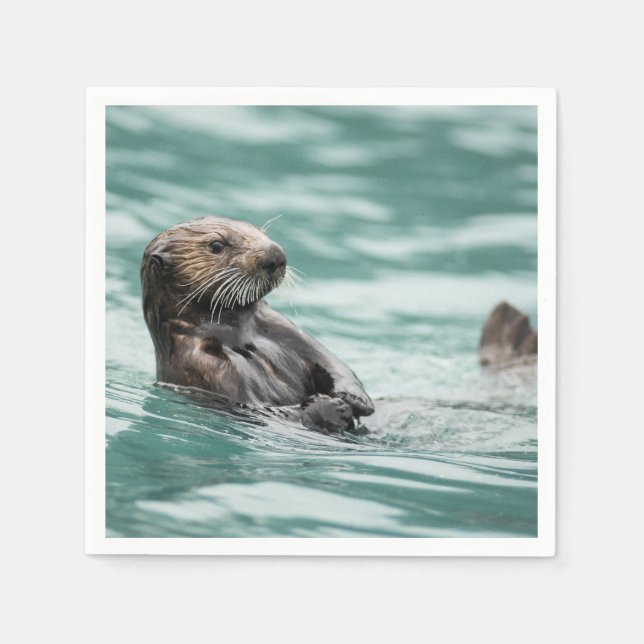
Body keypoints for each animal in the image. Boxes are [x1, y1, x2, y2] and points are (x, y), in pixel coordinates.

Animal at [141, 216, 374, 434]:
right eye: (216, 245)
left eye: (261, 232)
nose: (275, 254)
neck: (239, 335)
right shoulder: (204, 366)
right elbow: (262, 410)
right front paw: (331, 407)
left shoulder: (283, 328)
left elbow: (331, 362)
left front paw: (353, 398)